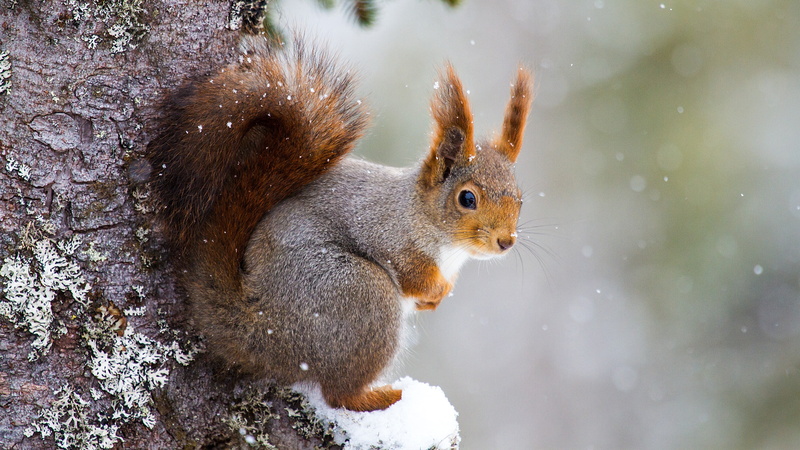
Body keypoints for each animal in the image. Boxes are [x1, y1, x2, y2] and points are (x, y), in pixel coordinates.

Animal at [149, 35, 532, 412]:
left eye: (520, 198)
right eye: (467, 199)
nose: (506, 241)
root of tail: (267, 328)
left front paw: (437, 298)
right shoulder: (388, 233)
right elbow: (412, 273)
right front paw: (434, 289)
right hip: (362, 295)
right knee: (339, 393)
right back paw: (381, 396)